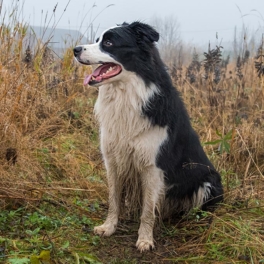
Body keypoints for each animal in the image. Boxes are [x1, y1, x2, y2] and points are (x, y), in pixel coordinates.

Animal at [72, 22, 223, 252]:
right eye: (97, 40)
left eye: (109, 42)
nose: (75, 50)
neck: (127, 95)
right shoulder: (113, 160)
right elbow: (114, 199)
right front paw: (109, 227)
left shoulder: (153, 166)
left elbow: (148, 210)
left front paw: (144, 239)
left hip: (208, 183)